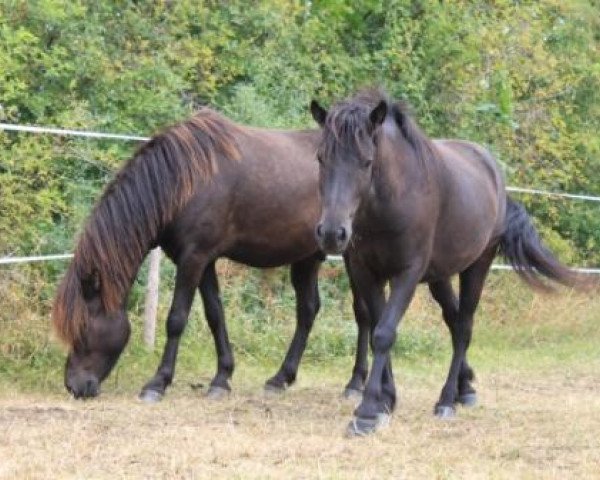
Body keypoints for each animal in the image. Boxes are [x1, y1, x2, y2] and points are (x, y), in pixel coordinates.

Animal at [52, 109, 370, 402]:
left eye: (82, 329)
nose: (74, 386)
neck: (183, 180)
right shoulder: (203, 261)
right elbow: (215, 315)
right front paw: (221, 378)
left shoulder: (193, 259)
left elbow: (176, 319)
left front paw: (158, 382)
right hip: (306, 258)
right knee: (308, 310)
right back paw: (281, 378)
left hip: (353, 258)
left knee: (363, 313)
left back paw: (356, 384)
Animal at [312, 88, 584, 436]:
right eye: (321, 158)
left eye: (367, 161)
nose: (332, 233)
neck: (395, 199)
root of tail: (493, 172)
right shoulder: (366, 271)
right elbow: (375, 329)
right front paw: (386, 399)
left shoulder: (407, 273)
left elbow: (384, 333)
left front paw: (368, 411)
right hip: (439, 276)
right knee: (453, 321)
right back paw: (463, 390)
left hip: (477, 266)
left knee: (464, 326)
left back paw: (446, 400)